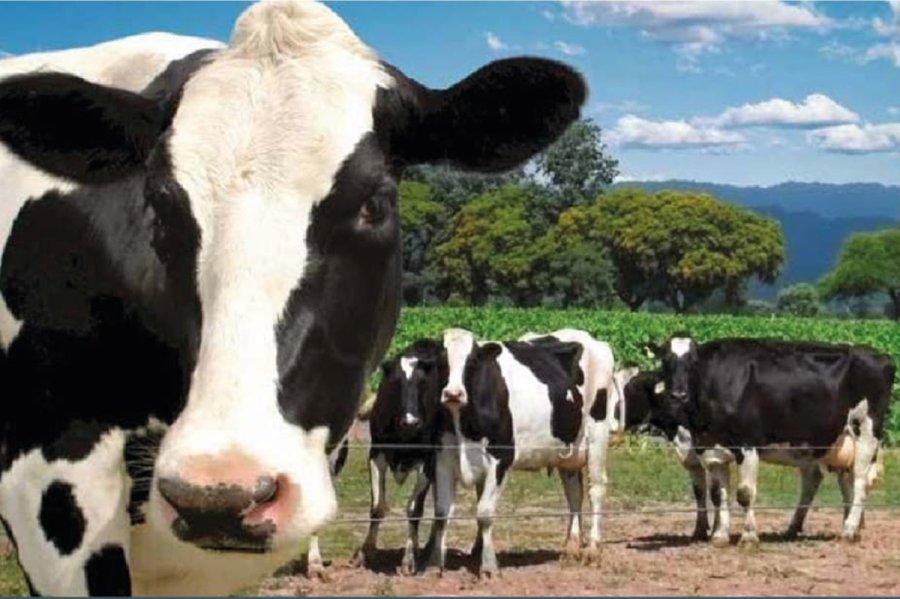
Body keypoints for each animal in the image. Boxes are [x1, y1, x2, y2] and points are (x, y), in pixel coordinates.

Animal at [425, 328, 614, 577]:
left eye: (472, 361)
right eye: (441, 361)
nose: (453, 393)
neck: (462, 424)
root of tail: (587, 337)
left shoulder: (501, 458)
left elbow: (484, 512)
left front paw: (489, 567)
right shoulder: (443, 457)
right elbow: (441, 512)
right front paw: (434, 564)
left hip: (597, 434)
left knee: (596, 490)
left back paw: (592, 550)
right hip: (569, 448)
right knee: (574, 493)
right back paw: (571, 547)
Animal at [646, 335, 895, 548]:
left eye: (694, 363)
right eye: (665, 362)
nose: (678, 395)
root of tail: (880, 355)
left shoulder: (747, 445)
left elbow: (745, 494)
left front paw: (748, 537)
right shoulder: (711, 450)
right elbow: (717, 495)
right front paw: (720, 536)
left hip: (866, 432)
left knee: (860, 482)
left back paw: (848, 531)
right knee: (839, 481)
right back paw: (840, 528)